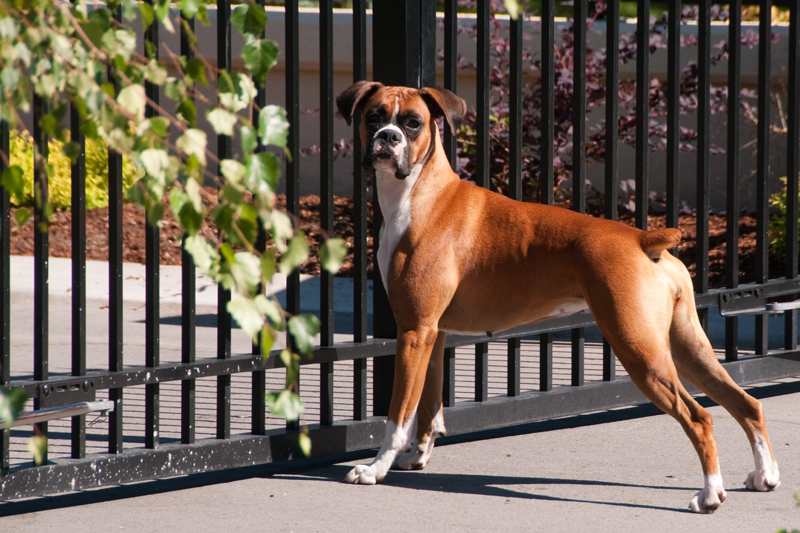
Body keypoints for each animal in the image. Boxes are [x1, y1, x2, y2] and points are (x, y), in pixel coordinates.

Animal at [334, 82, 780, 512]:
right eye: (374, 116)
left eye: (412, 123)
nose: (387, 138)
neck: (420, 194)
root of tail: (642, 238)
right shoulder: (433, 333)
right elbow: (427, 405)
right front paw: (417, 457)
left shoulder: (413, 332)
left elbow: (398, 414)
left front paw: (376, 468)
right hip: (685, 346)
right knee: (745, 403)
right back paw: (765, 476)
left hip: (640, 351)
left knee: (699, 416)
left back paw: (709, 495)